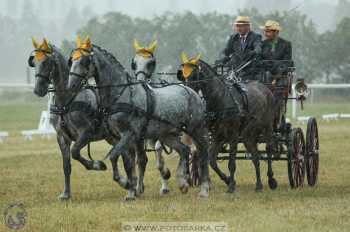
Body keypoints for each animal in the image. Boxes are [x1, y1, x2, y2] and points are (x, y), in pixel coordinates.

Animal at [67, 36, 211, 199]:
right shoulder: (124, 137)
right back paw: (183, 183)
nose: (71, 85)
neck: (122, 94)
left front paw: (125, 183)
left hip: (196, 129)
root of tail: (191, 91)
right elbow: (129, 163)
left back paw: (204, 189)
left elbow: (114, 156)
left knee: (203, 154)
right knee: (184, 150)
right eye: (71, 60)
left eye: (84, 61)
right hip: (167, 134)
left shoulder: (130, 133)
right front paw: (131, 191)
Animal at [179, 53, 278, 193]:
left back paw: (271, 179)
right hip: (248, 135)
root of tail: (266, 88)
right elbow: (212, 160)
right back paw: (258, 184)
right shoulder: (218, 136)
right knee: (255, 156)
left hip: (267, 127)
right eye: (183, 76)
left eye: (194, 76)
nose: (187, 93)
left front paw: (231, 186)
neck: (221, 99)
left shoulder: (233, 136)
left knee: (269, 149)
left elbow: (231, 163)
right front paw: (227, 180)